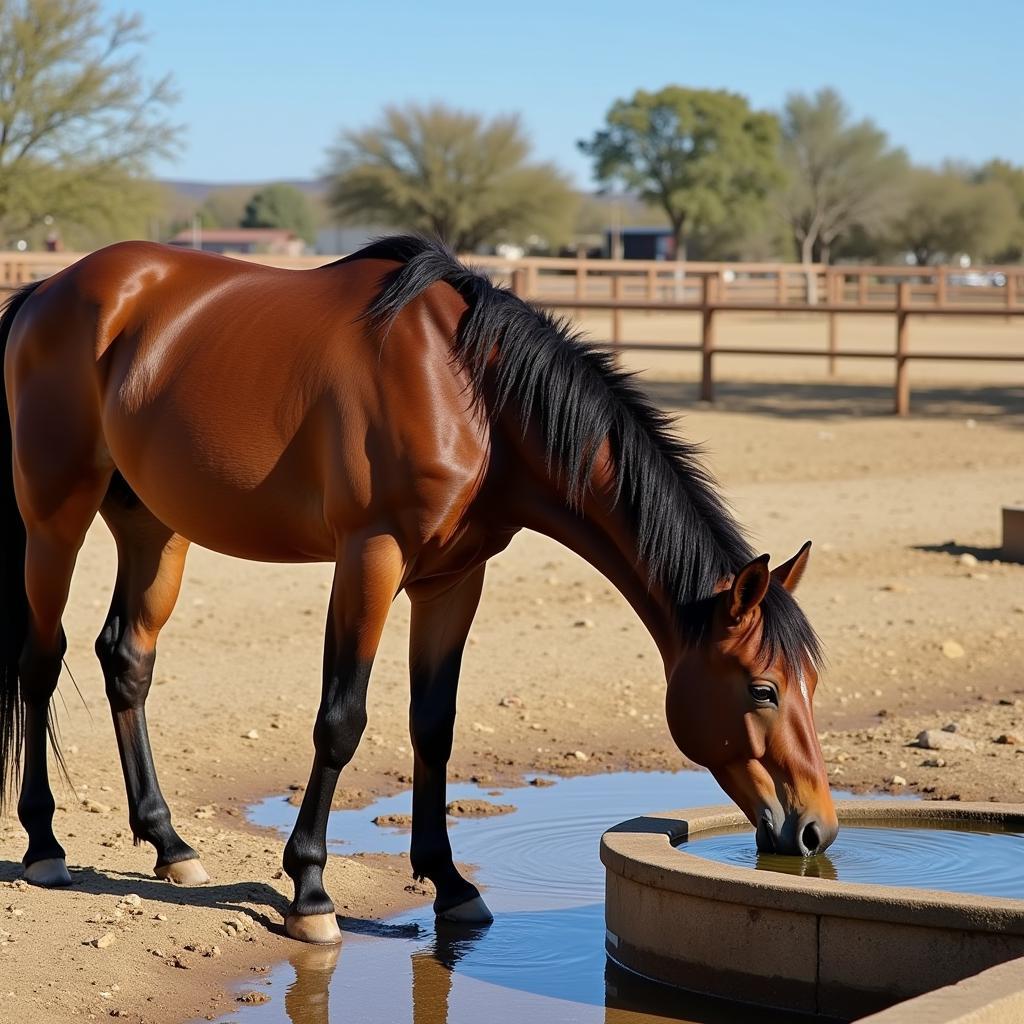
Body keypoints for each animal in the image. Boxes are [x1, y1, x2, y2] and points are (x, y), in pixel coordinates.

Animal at [0, 234, 831, 942]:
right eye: (762, 689)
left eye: (810, 685)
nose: (816, 827)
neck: (473, 397)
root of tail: (49, 288)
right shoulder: (372, 556)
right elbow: (341, 719)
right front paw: (310, 892)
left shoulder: (453, 579)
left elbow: (434, 724)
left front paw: (451, 885)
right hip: (56, 514)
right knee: (42, 661)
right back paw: (45, 845)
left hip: (154, 525)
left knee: (127, 659)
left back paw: (170, 844)